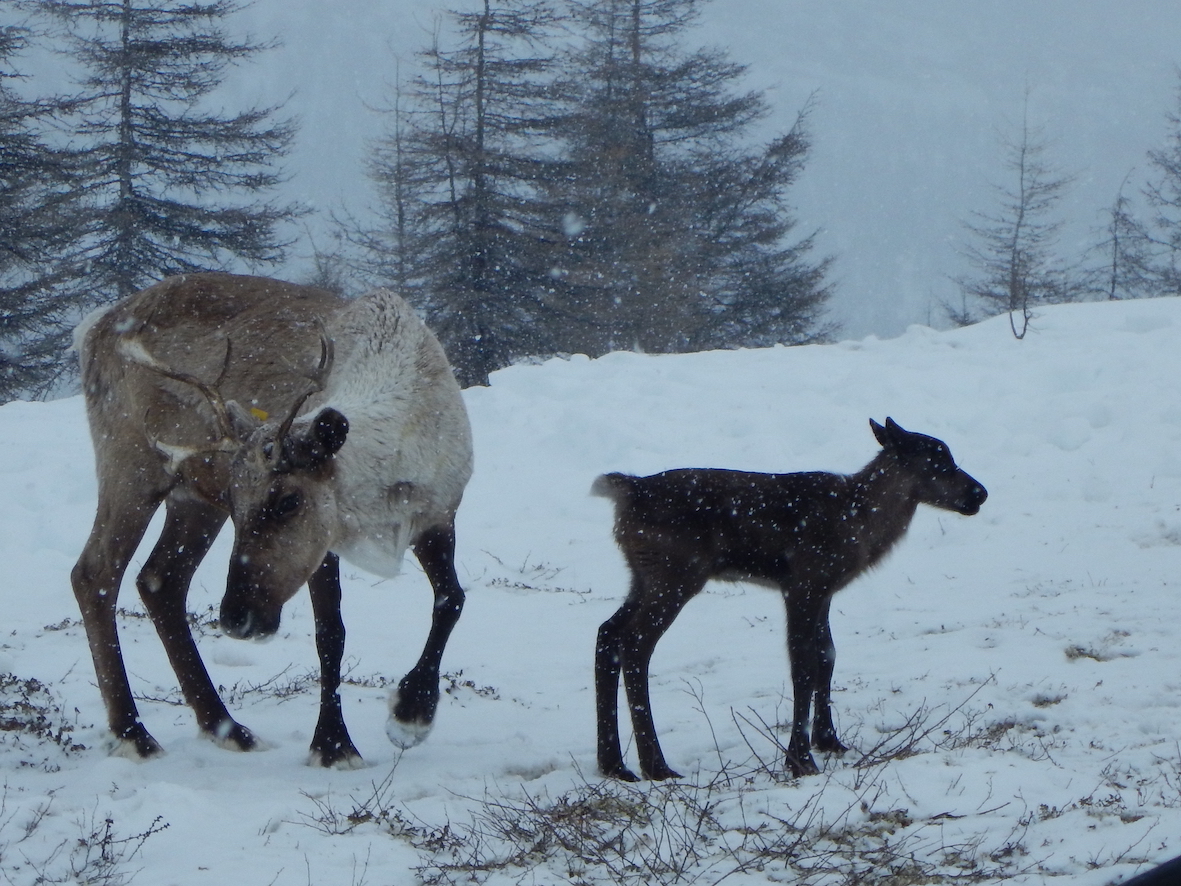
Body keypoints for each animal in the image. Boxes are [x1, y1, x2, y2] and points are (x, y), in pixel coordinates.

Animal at [590, 418, 987, 784]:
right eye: (938, 462)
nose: (980, 493)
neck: (858, 523)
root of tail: (627, 491)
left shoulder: (824, 588)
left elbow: (827, 655)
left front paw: (829, 740)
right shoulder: (803, 581)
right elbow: (803, 664)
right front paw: (800, 759)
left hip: (643, 575)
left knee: (608, 631)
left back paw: (614, 764)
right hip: (675, 573)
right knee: (635, 643)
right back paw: (655, 765)